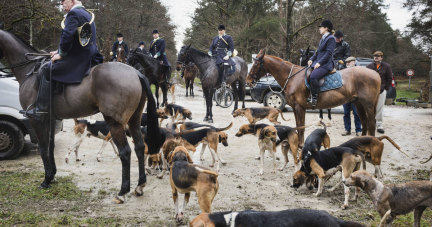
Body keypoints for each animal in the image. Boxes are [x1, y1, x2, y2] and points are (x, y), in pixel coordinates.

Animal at [0, 24, 160, 204]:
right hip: (134, 119)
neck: (29, 70)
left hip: (115, 123)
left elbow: (42, 147)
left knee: (125, 152)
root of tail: (135, 73)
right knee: (139, 147)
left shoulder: (36, 119)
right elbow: (50, 146)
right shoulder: (49, 119)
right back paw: (140, 185)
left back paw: (122, 192)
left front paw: (46, 179)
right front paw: (52, 175)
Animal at [246, 49, 382, 145]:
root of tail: (375, 73)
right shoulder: (297, 108)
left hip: (368, 104)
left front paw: (300, 146)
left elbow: (301, 127)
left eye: (255, 65)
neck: (293, 78)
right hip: (358, 103)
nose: (248, 81)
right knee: (364, 122)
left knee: (371, 123)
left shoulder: (299, 107)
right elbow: (300, 126)